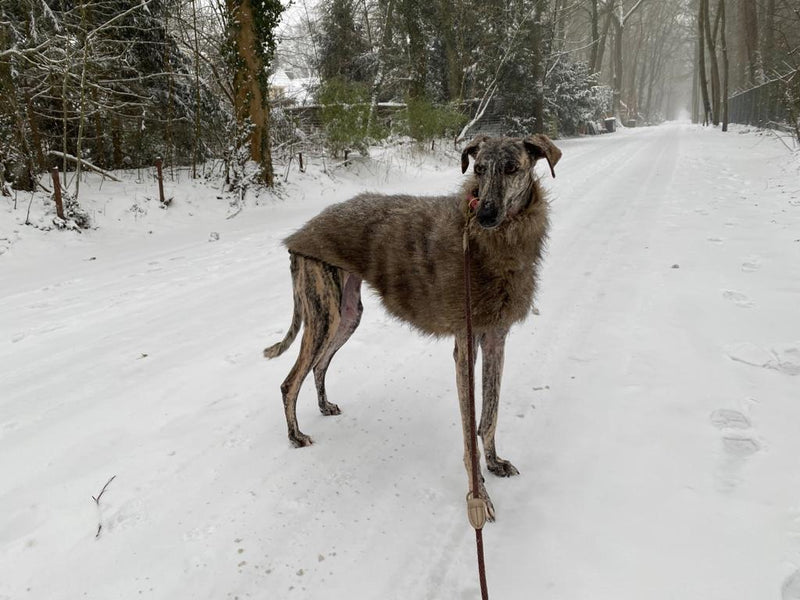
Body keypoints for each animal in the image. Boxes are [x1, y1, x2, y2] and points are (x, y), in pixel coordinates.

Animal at [266, 134, 560, 516]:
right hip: (324, 313)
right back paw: (295, 435)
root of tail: (302, 233)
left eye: (512, 167)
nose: (484, 216)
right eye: (479, 168)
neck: (494, 244)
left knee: (319, 365)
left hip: (347, 314)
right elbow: (470, 429)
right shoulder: (465, 346)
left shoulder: (496, 337)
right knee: (290, 381)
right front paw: (478, 496)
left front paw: (494, 463)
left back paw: (324, 406)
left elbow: (490, 415)